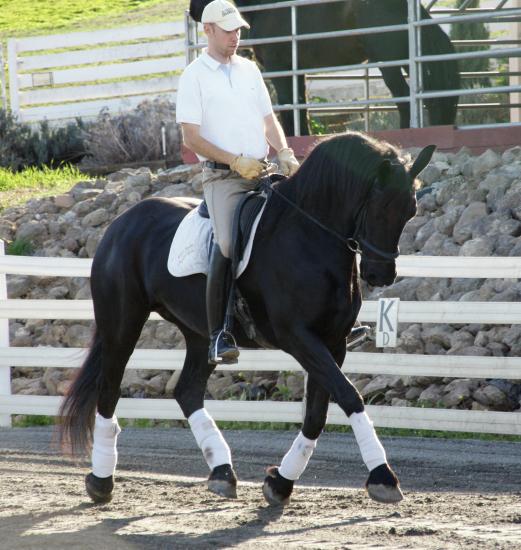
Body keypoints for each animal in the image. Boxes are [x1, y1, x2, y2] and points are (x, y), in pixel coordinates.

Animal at [58, 133, 434, 508]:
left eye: (410, 210)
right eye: (379, 207)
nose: (381, 275)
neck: (310, 237)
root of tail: (121, 222)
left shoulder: (333, 342)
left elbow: (317, 413)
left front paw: (280, 482)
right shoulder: (298, 337)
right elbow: (349, 395)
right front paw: (383, 477)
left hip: (199, 334)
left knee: (187, 391)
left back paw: (222, 473)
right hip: (123, 323)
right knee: (109, 390)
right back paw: (101, 481)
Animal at [189, 0, 458, 136]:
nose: (194, 10)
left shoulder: (280, 69)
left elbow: (288, 106)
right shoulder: (296, 71)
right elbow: (300, 107)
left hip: (388, 62)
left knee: (404, 97)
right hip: (404, 59)